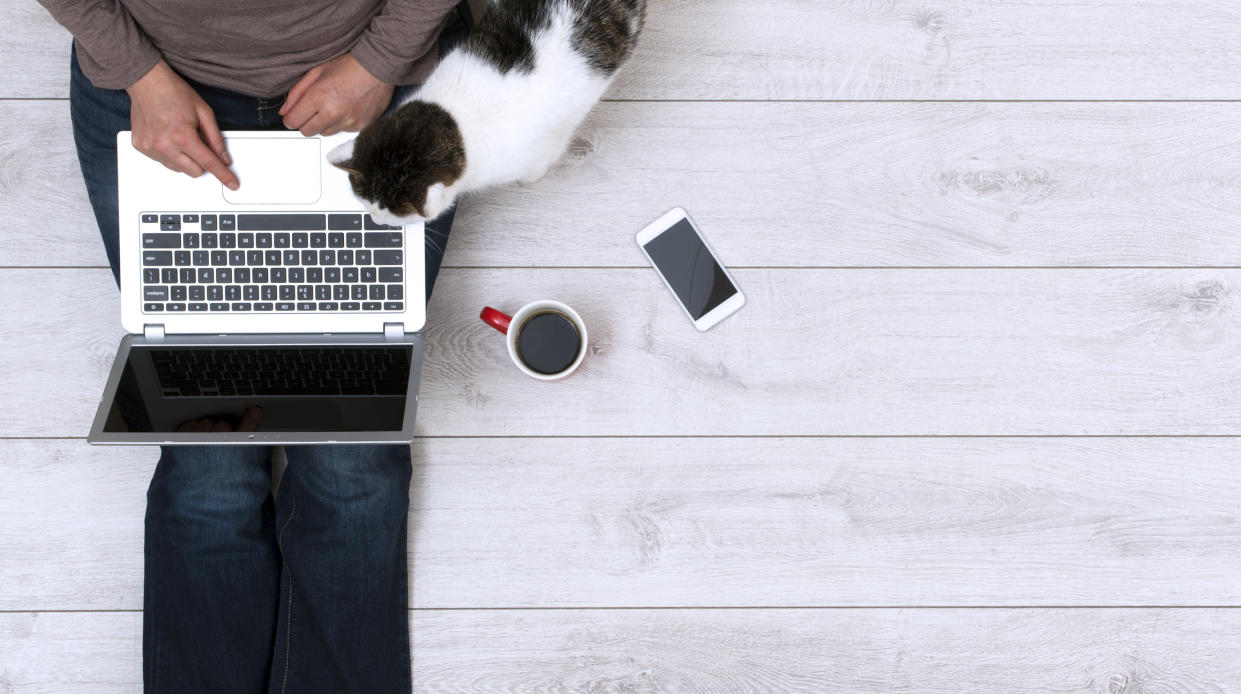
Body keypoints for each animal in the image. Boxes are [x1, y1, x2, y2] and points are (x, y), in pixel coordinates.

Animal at [325, 0, 645, 225]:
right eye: (365, 204)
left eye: (389, 214)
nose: (374, 220)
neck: (455, 121)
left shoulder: (541, 147)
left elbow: (543, 159)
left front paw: (531, 177)